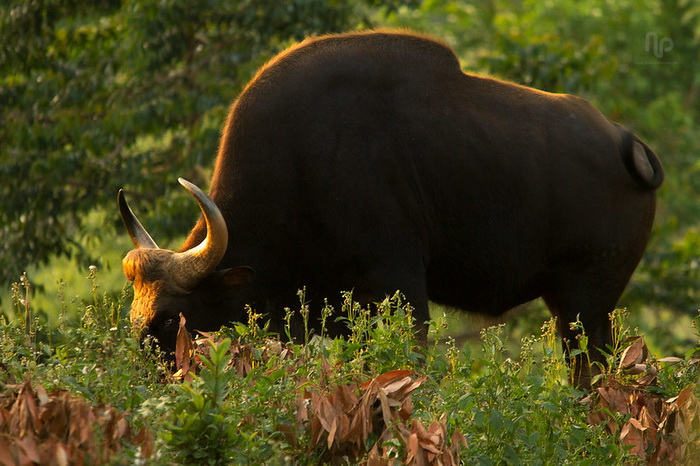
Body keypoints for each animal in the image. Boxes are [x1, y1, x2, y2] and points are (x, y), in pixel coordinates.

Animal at [119, 29, 660, 386]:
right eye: (133, 317)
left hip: (585, 300)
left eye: (167, 320)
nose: (144, 380)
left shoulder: (398, 288)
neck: (300, 164)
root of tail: (625, 144)